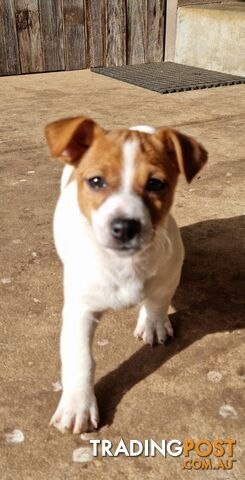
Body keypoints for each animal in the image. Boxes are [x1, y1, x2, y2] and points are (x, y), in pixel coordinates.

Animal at [45, 117, 208, 436]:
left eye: (155, 184)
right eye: (96, 181)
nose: (125, 227)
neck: (125, 264)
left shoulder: (169, 273)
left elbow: (158, 301)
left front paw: (153, 322)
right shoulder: (80, 310)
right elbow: (80, 358)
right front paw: (77, 405)